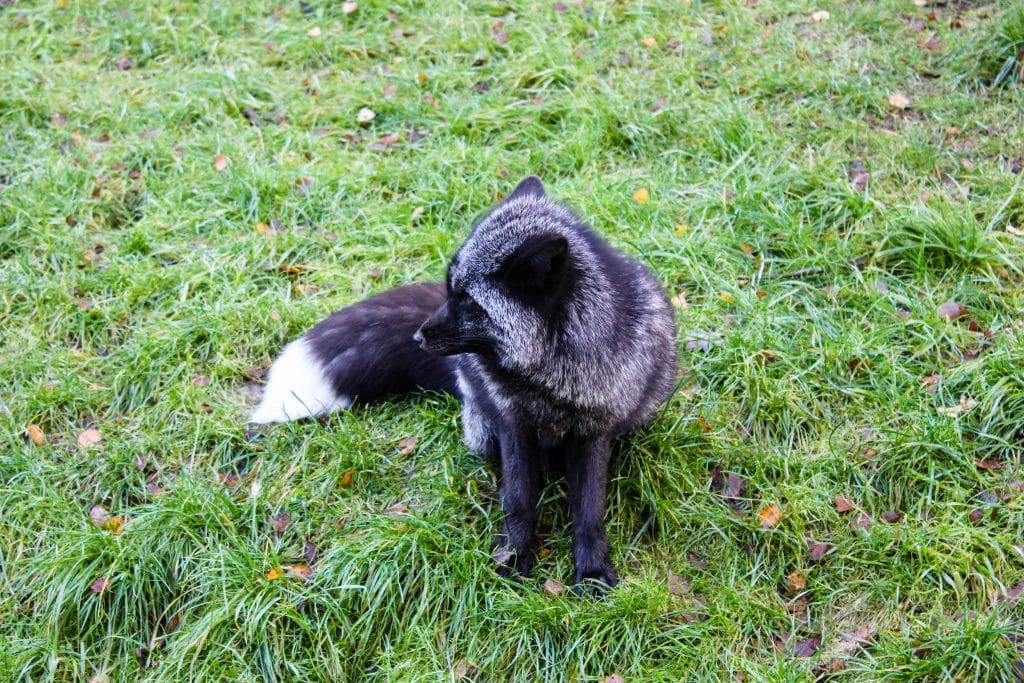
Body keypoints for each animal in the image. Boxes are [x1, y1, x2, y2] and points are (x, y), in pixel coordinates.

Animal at [251, 178, 675, 593]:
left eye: (469, 301)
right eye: (449, 290)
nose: (418, 337)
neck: (548, 377)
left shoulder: (592, 432)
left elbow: (589, 512)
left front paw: (591, 572)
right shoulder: (513, 425)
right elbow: (518, 500)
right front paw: (512, 560)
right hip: (483, 429)